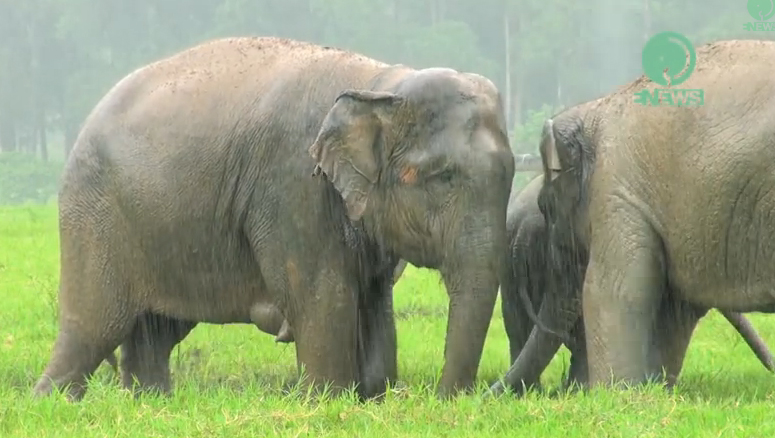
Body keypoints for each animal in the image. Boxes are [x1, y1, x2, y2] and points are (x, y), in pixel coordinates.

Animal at [31, 36, 516, 402]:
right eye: (441, 177)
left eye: (514, 172)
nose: (441, 398)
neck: (381, 84)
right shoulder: (292, 187)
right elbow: (324, 297)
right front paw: (327, 401)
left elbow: (374, 303)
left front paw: (373, 396)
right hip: (94, 217)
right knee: (92, 328)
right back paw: (53, 403)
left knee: (155, 334)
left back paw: (151, 404)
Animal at [520, 40, 775, 390]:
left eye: (546, 207)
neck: (595, 109)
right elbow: (671, 305)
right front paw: (651, 388)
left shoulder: (615, 191)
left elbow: (609, 290)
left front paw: (614, 392)